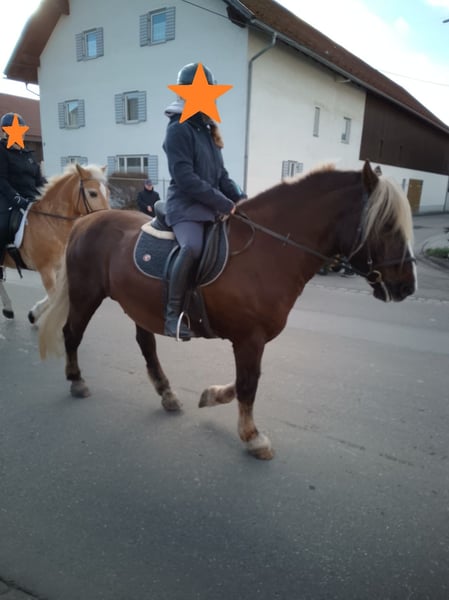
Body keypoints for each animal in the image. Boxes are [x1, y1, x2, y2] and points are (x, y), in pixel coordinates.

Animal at [0, 163, 110, 322]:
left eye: (107, 192)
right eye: (93, 193)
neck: (50, 222)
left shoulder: (59, 268)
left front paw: (34, 313)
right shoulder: (46, 270)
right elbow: (54, 298)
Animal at [38, 160, 417, 460]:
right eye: (386, 224)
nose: (407, 287)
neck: (268, 249)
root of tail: (86, 222)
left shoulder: (250, 339)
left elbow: (244, 381)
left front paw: (210, 395)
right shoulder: (249, 338)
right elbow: (249, 383)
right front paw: (253, 438)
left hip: (136, 304)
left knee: (146, 346)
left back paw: (167, 393)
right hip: (87, 296)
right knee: (72, 334)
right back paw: (77, 380)